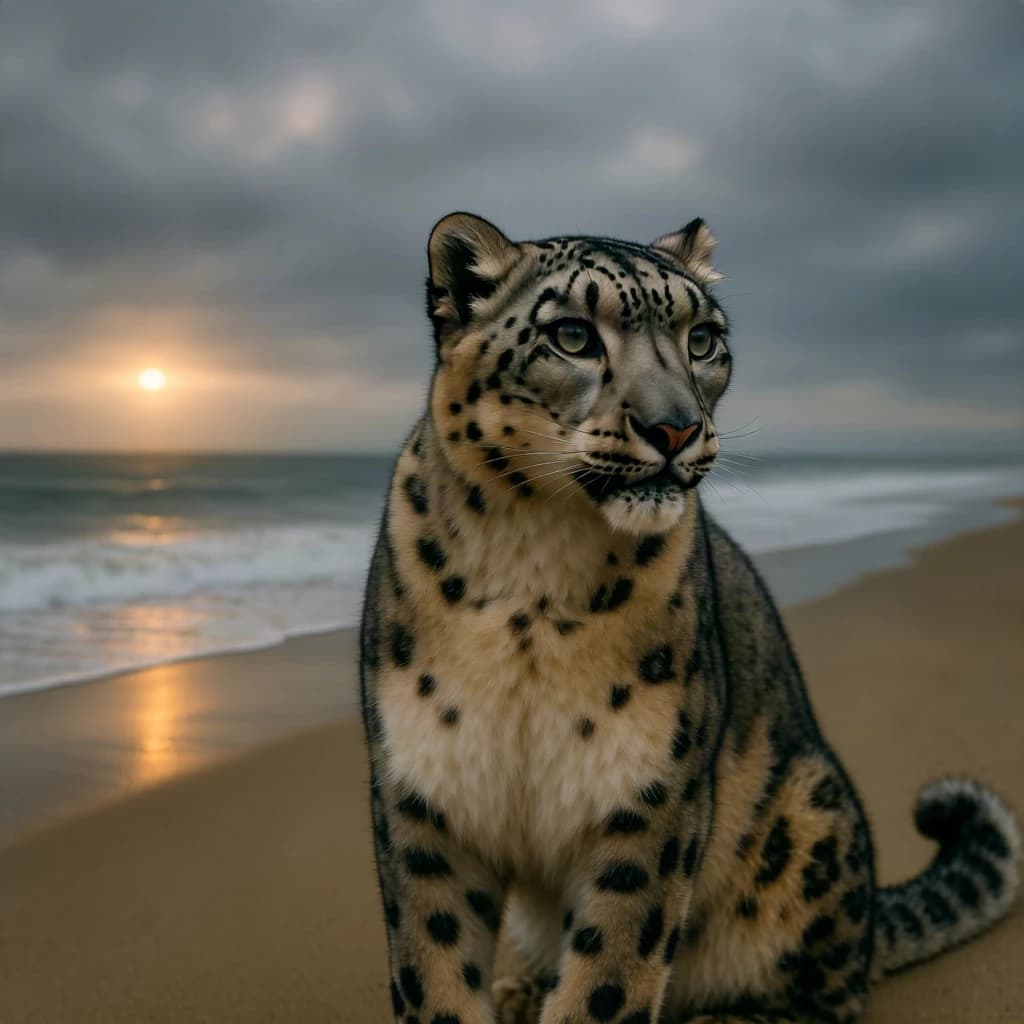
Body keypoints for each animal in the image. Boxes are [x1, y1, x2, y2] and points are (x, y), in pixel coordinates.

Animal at [358, 211, 1020, 1024]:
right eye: (573, 335)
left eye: (702, 339)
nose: (673, 427)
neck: (533, 568)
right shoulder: (424, 794)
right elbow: (435, 968)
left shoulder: (651, 795)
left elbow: (609, 979)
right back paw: (519, 991)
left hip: (808, 818)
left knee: (834, 991)